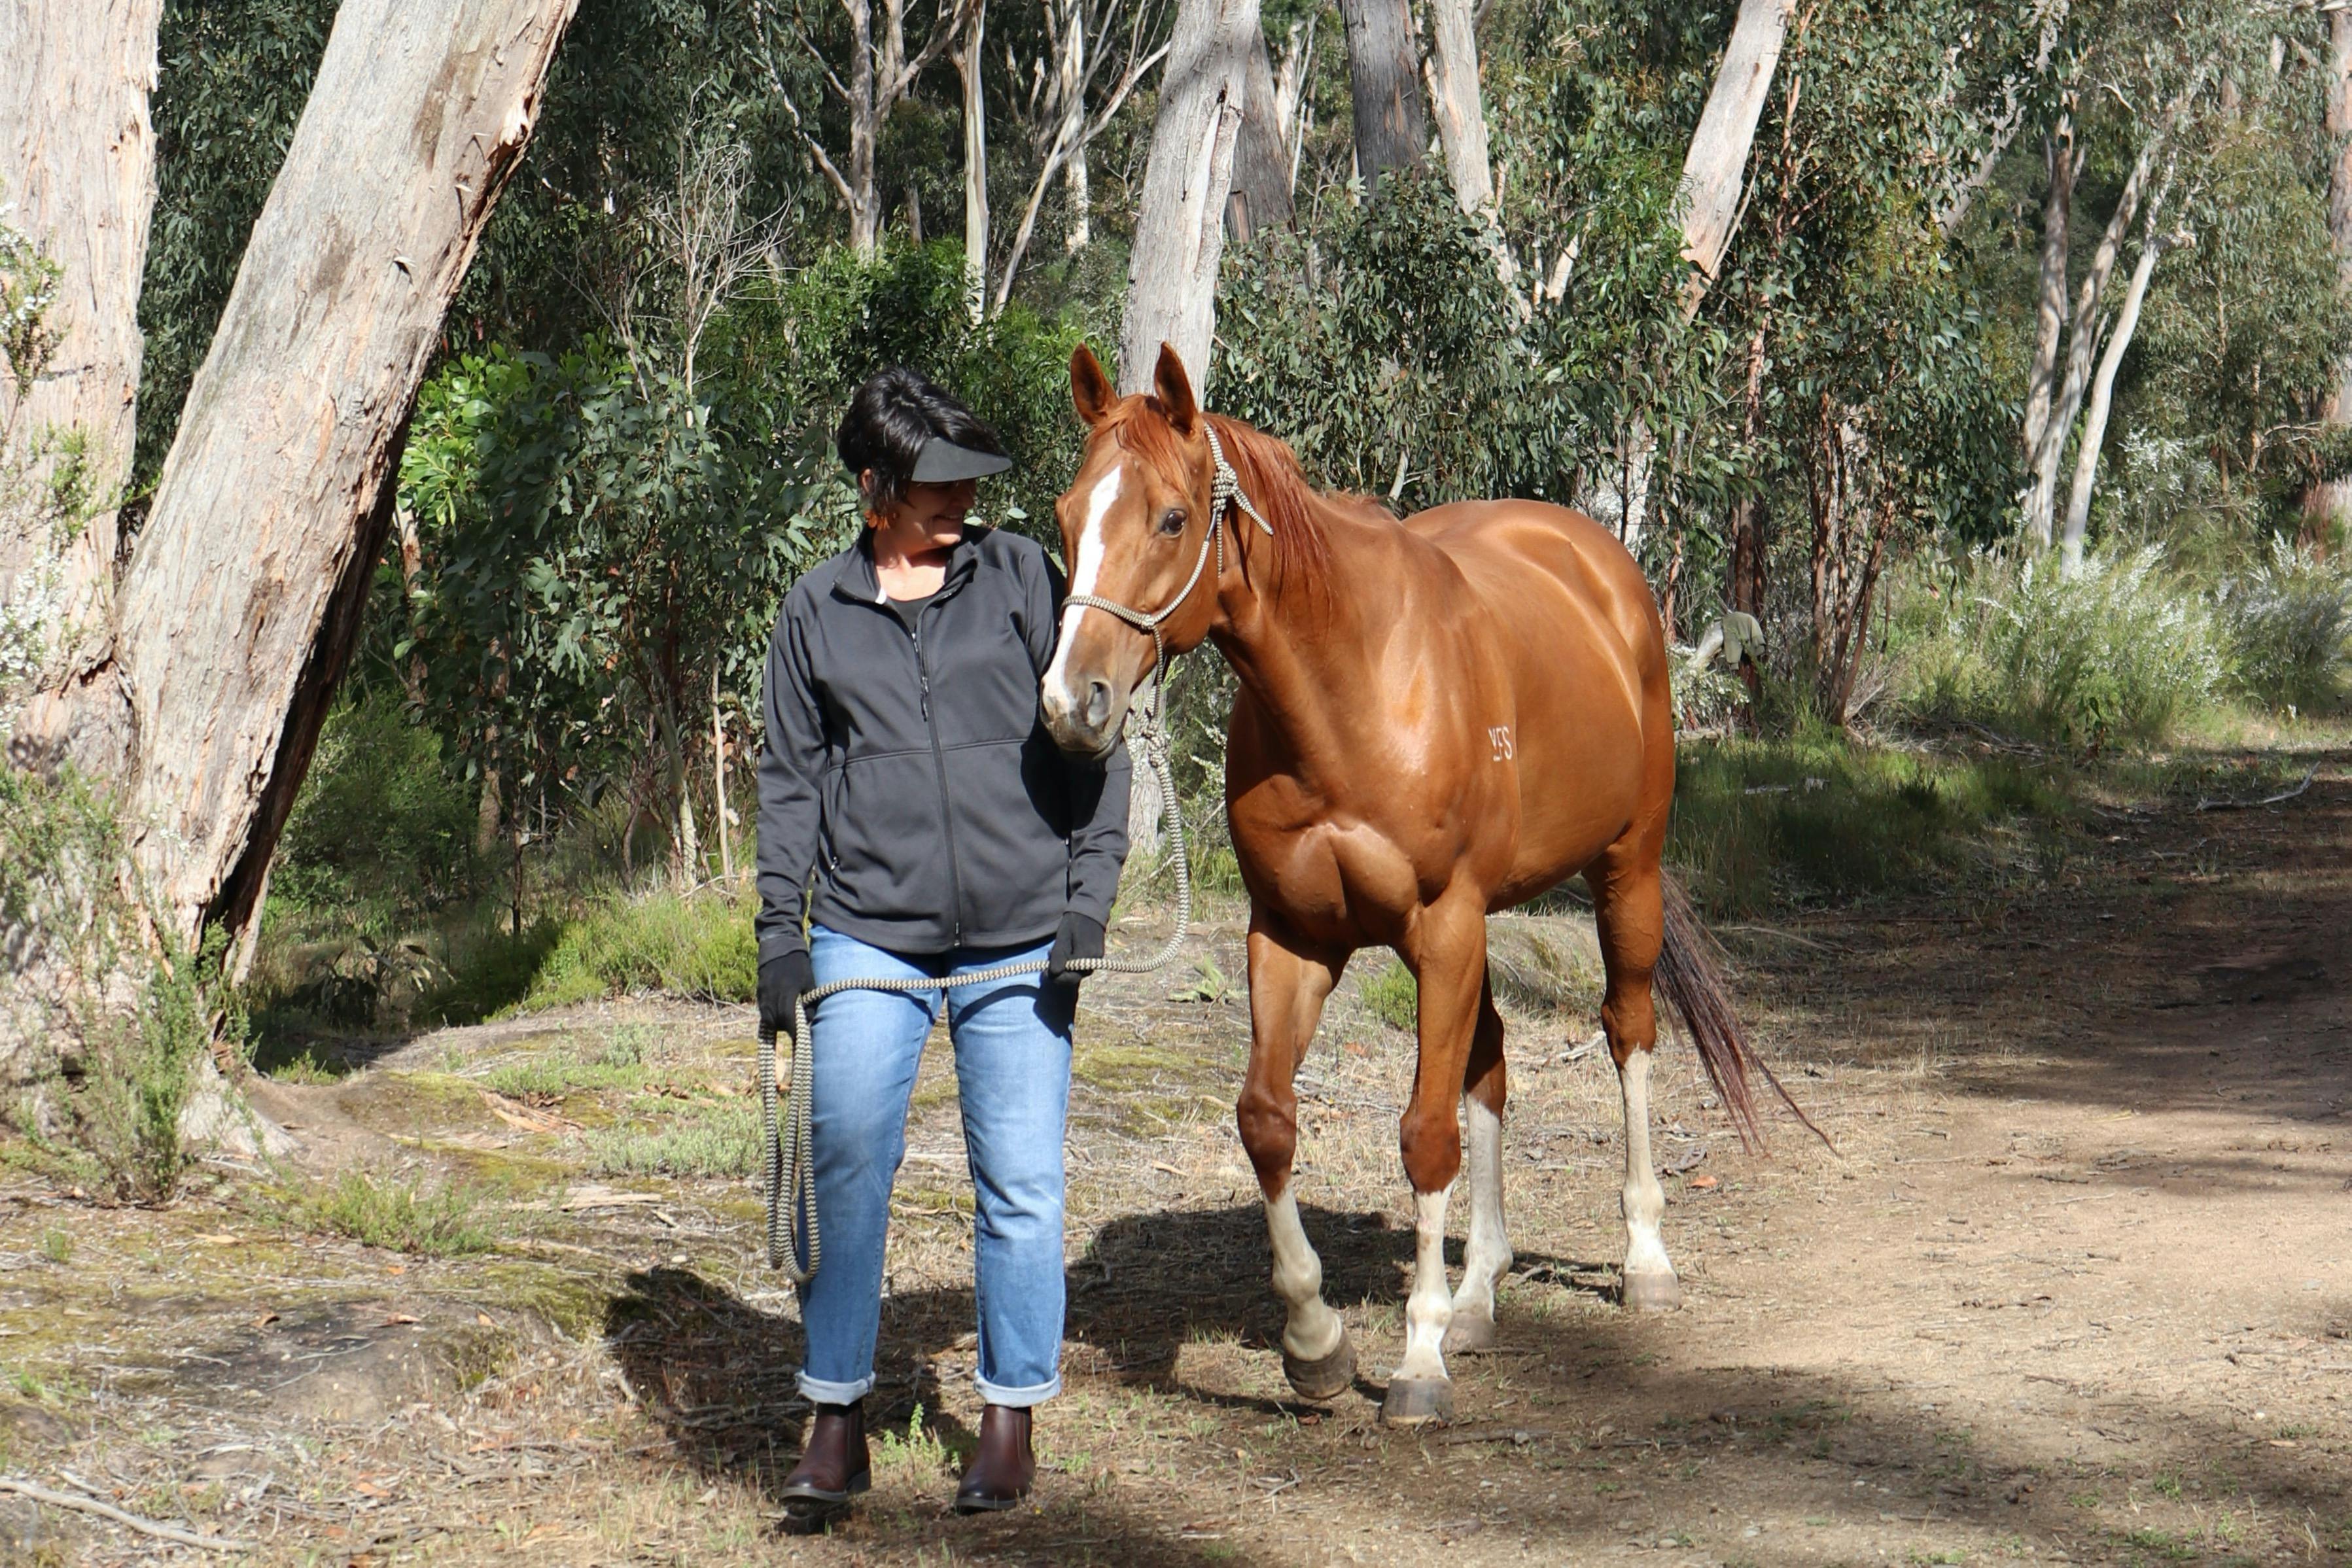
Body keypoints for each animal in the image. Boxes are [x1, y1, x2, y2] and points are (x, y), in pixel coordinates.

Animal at [1039, 342, 1803, 1425]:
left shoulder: (1441, 925)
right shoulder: (1293, 936)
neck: (1347, 689)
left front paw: (1415, 1359)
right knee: (1489, 1061)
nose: (1072, 702)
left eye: (1171, 519)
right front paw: (1315, 1342)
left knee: (1626, 1032)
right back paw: (1479, 1291)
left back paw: (1643, 1260)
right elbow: (1268, 1120)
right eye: (1068, 515)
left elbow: (1422, 1135)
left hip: (1625, 871)